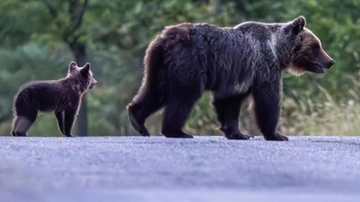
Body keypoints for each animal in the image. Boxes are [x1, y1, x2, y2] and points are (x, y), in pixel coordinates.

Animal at [127, 15, 334, 140]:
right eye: (316, 46)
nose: (330, 61)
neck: (278, 50)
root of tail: (164, 38)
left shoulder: (239, 76)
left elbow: (230, 102)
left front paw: (238, 133)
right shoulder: (264, 65)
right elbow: (267, 100)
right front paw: (277, 134)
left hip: (158, 65)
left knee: (155, 91)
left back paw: (137, 120)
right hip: (189, 62)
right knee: (184, 97)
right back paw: (177, 131)